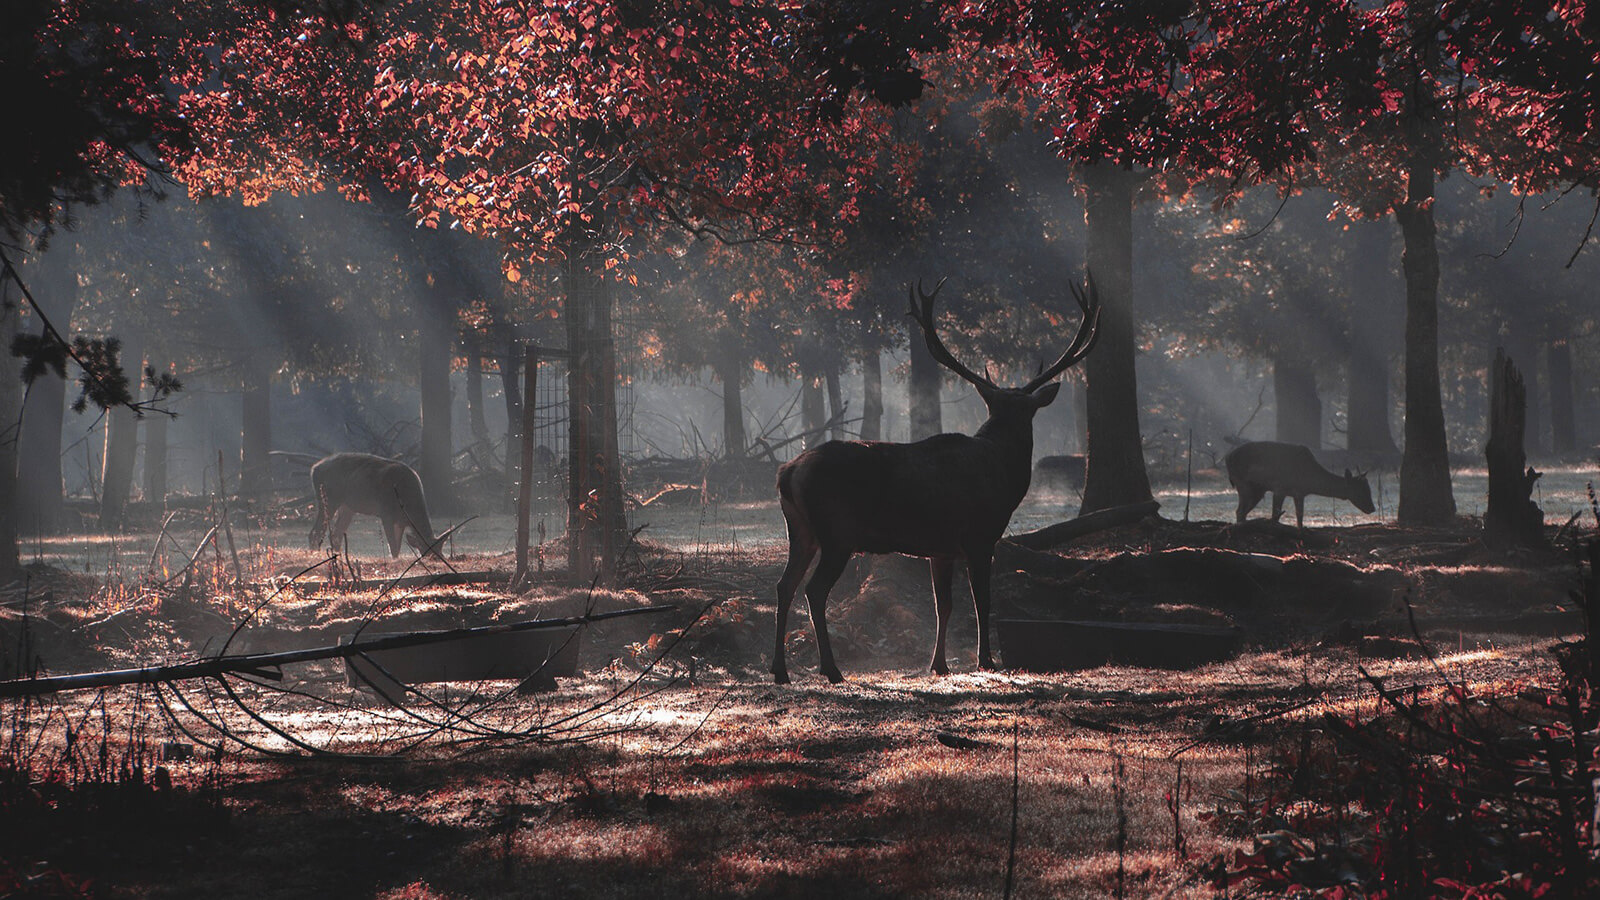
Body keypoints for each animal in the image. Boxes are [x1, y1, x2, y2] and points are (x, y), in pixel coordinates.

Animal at [307, 451, 448, 557]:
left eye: (440, 552)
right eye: (427, 553)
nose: (438, 559)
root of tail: (314, 469)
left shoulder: (400, 521)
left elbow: (397, 546)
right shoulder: (385, 513)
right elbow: (393, 546)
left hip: (347, 507)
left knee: (336, 534)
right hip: (328, 499)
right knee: (315, 531)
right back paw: (316, 554)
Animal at [764, 278, 1094, 679]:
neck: (1004, 475)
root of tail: (787, 472)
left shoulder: (941, 548)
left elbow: (944, 605)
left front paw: (938, 664)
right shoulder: (980, 537)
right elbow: (982, 601)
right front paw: (986, 660)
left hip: (800, 530)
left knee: (784, 585)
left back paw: (780, 670)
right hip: (837, 531)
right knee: (814, 590)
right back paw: (830, 668)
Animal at [1222, 438, 1376, 528]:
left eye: (1369, 488)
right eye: (1359, 490)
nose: (1372, 508)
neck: (1306, 478)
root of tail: (1227, 457)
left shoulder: (1299, 494)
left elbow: (1300, 517)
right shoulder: (1279, 488)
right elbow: (1275, 516)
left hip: (1258, 490)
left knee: (1242, 512)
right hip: (1242, 483)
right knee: (1239, 511)